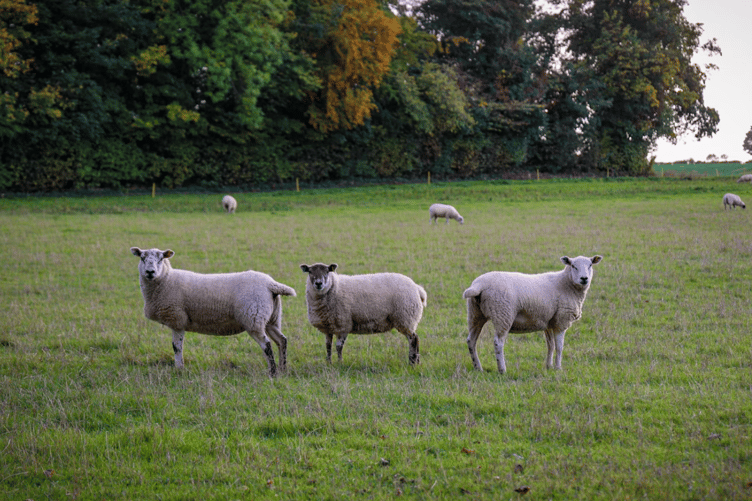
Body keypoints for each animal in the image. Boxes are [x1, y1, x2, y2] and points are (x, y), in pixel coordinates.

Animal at [131, 247, 296, 376]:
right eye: (142, 258)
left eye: (160, 259)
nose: (150, 272)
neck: (166, 280)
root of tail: (271, 284)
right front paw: (179, 369)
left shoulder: (177, 319)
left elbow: (177, 347)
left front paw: (179, 370)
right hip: (271, 319)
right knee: (282, 341)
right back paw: (283, 369)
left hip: (253, 318)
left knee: (267, 345)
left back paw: (273, 373)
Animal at [463, 255, 603, 374]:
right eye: (573, 266)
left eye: (590, 265)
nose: (584, 278)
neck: (565, 283)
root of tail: (479, 284)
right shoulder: (561, 321)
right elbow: (559, 347)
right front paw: (558, 368)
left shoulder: (549, 322)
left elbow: (550, 346)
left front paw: (549, 366)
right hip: (503, 314)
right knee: (498, 342)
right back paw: (502, 369)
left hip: (475, 313)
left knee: (471, 340)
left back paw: (478, 367)